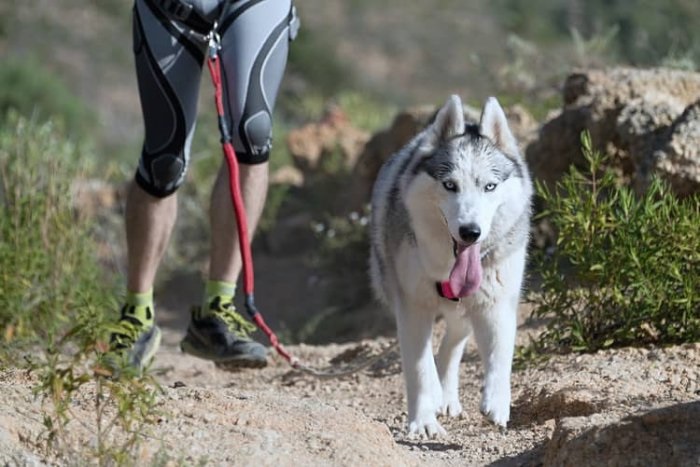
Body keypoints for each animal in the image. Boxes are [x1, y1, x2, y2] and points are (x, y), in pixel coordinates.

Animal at [370, 96, 532, 438]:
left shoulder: (496, 303)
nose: (470, 232)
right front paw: (423, 422)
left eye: (490, 186)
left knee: (453, 342)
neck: (448, 266)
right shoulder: (412, 306)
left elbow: (501, 355)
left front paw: (497, 403)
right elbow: (418, 366)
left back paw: (445, 395)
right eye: (449, 185)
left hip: (467, 307)